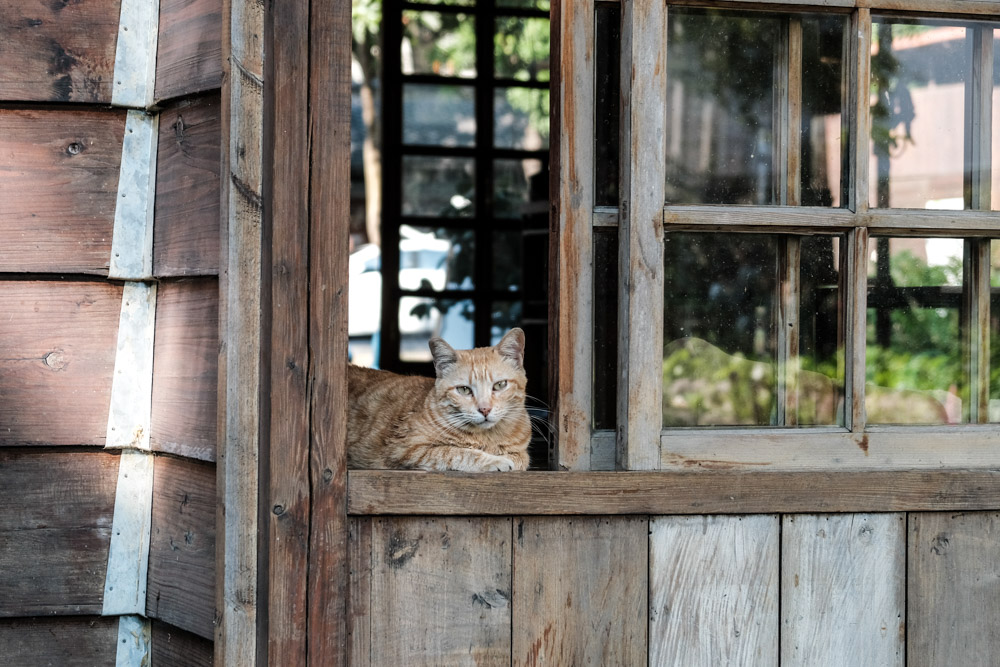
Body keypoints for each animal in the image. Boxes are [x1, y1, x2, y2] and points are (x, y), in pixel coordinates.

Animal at [348, 328, 532, 470]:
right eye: (464, 390)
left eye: (500, 385)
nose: (485, 409)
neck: (487, 437)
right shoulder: (407, 450)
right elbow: (456, 452)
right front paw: (496, 461)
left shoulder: (522, 453)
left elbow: (521, 458)